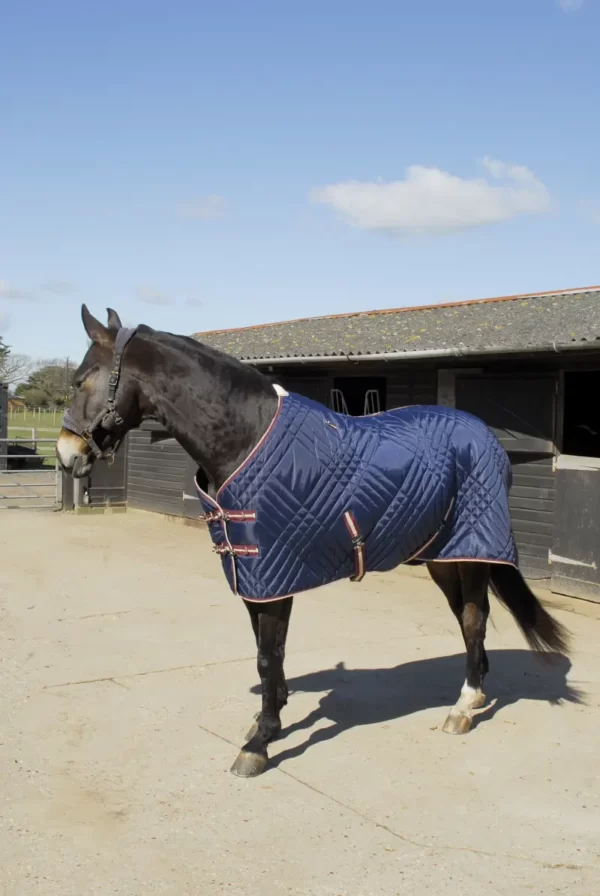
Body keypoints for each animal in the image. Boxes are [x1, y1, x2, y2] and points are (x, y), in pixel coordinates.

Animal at [57, 304, 572, 772]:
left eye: (81, 380)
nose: (66, 454)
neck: (245, 437)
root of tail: (484, 435)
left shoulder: (272, 574)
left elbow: (267, 657)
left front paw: (258, 744)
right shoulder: (258, 576)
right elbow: (270, 652)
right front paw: (271, 718)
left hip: (471, 551)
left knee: (473, 619)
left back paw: (463, 707)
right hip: (441, 557)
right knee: (469, 617)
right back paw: (476, 694)